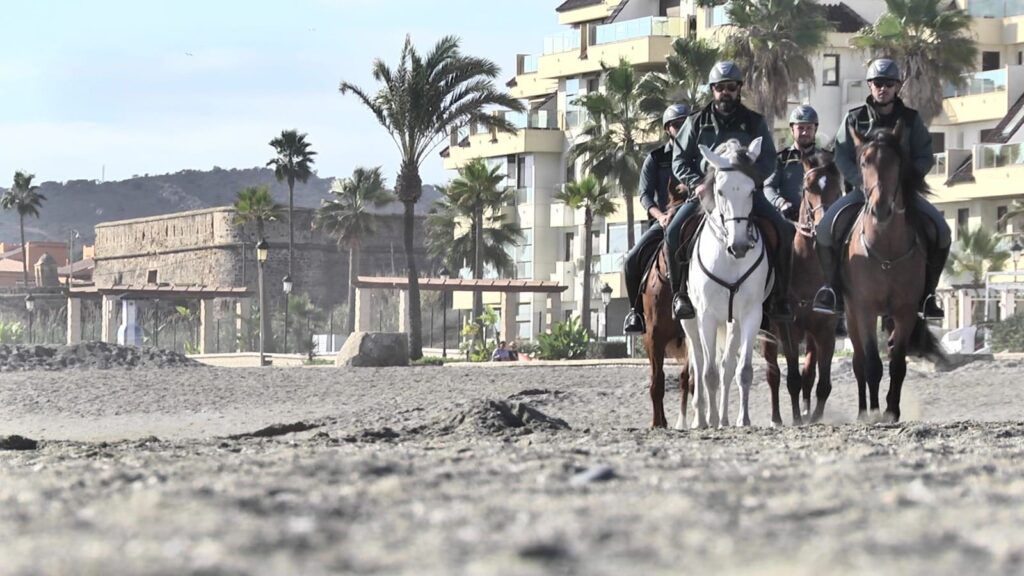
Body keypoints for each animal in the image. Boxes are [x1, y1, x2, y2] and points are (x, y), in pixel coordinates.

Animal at [675, 139, 770, 426]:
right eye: (720, 190)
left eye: (752, 190)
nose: (739, 246)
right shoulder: (705, 315)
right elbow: (709, 373)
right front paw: (710, 420)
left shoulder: (750, 315)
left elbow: (742, 370)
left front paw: (743, 420)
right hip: (691, 321)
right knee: (698, 364)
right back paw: (702, 418)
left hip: (733, 323)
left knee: (727, 366)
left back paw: (725, 418)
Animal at [765, 150, 843, 424]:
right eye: (808, 188)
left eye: (838, 188)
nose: (823, 226)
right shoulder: (789, 329)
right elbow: (792, 378)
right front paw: (798, 419)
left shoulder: (826, 330)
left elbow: (822, 382)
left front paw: (814, 416)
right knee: (773, 375)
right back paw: (776, 418)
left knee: (809, 373)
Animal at [839, 126, 942, 422]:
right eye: (864, 162)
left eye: (896, 163)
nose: (881, 208)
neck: (885, 249)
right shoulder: (864, 309)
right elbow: (872, 364)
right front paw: (874, 412)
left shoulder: (905, 311)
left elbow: (897, 364)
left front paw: (892, 410)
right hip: (850, 315)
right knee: (859, 361)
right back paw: (863, 410)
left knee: (893, 348)